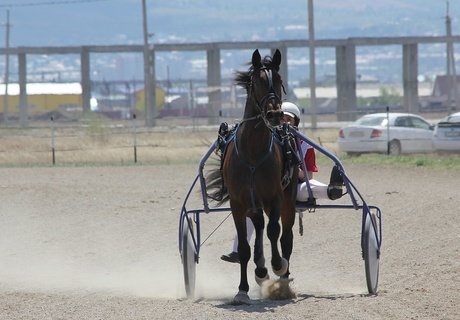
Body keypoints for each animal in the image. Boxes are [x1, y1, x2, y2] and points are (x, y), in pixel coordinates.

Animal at [205, 48, 298, 304]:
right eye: (257, 81)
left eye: (279, 80)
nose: (275, 114)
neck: (254, 154)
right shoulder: (238, 203)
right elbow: (245, 248)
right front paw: (243, 289)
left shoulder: (275, 197)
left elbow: (274, 232)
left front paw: (277, 266)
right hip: (252, 204)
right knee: (258, 227)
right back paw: (260, 269)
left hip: (288, 199)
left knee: (285, 238)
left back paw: (282, 280)